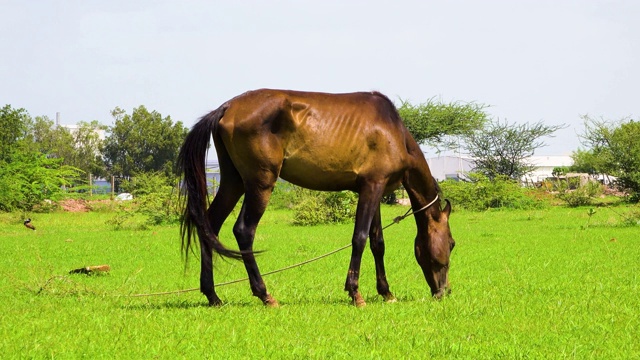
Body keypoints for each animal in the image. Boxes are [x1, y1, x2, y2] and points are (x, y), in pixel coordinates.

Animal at [178, 88, 452, 306]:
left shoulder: (373, 188)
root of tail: (226, 107)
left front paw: (386, 293)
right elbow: (360, 238)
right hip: (260, 183)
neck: (393, 132)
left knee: (209, 226)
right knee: (244, 230)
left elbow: (377, 243)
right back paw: (265, 294)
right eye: (451, 243)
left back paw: (213, 295)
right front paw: (355, 293)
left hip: (233, 182)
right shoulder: (372, 187)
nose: (444, 291)